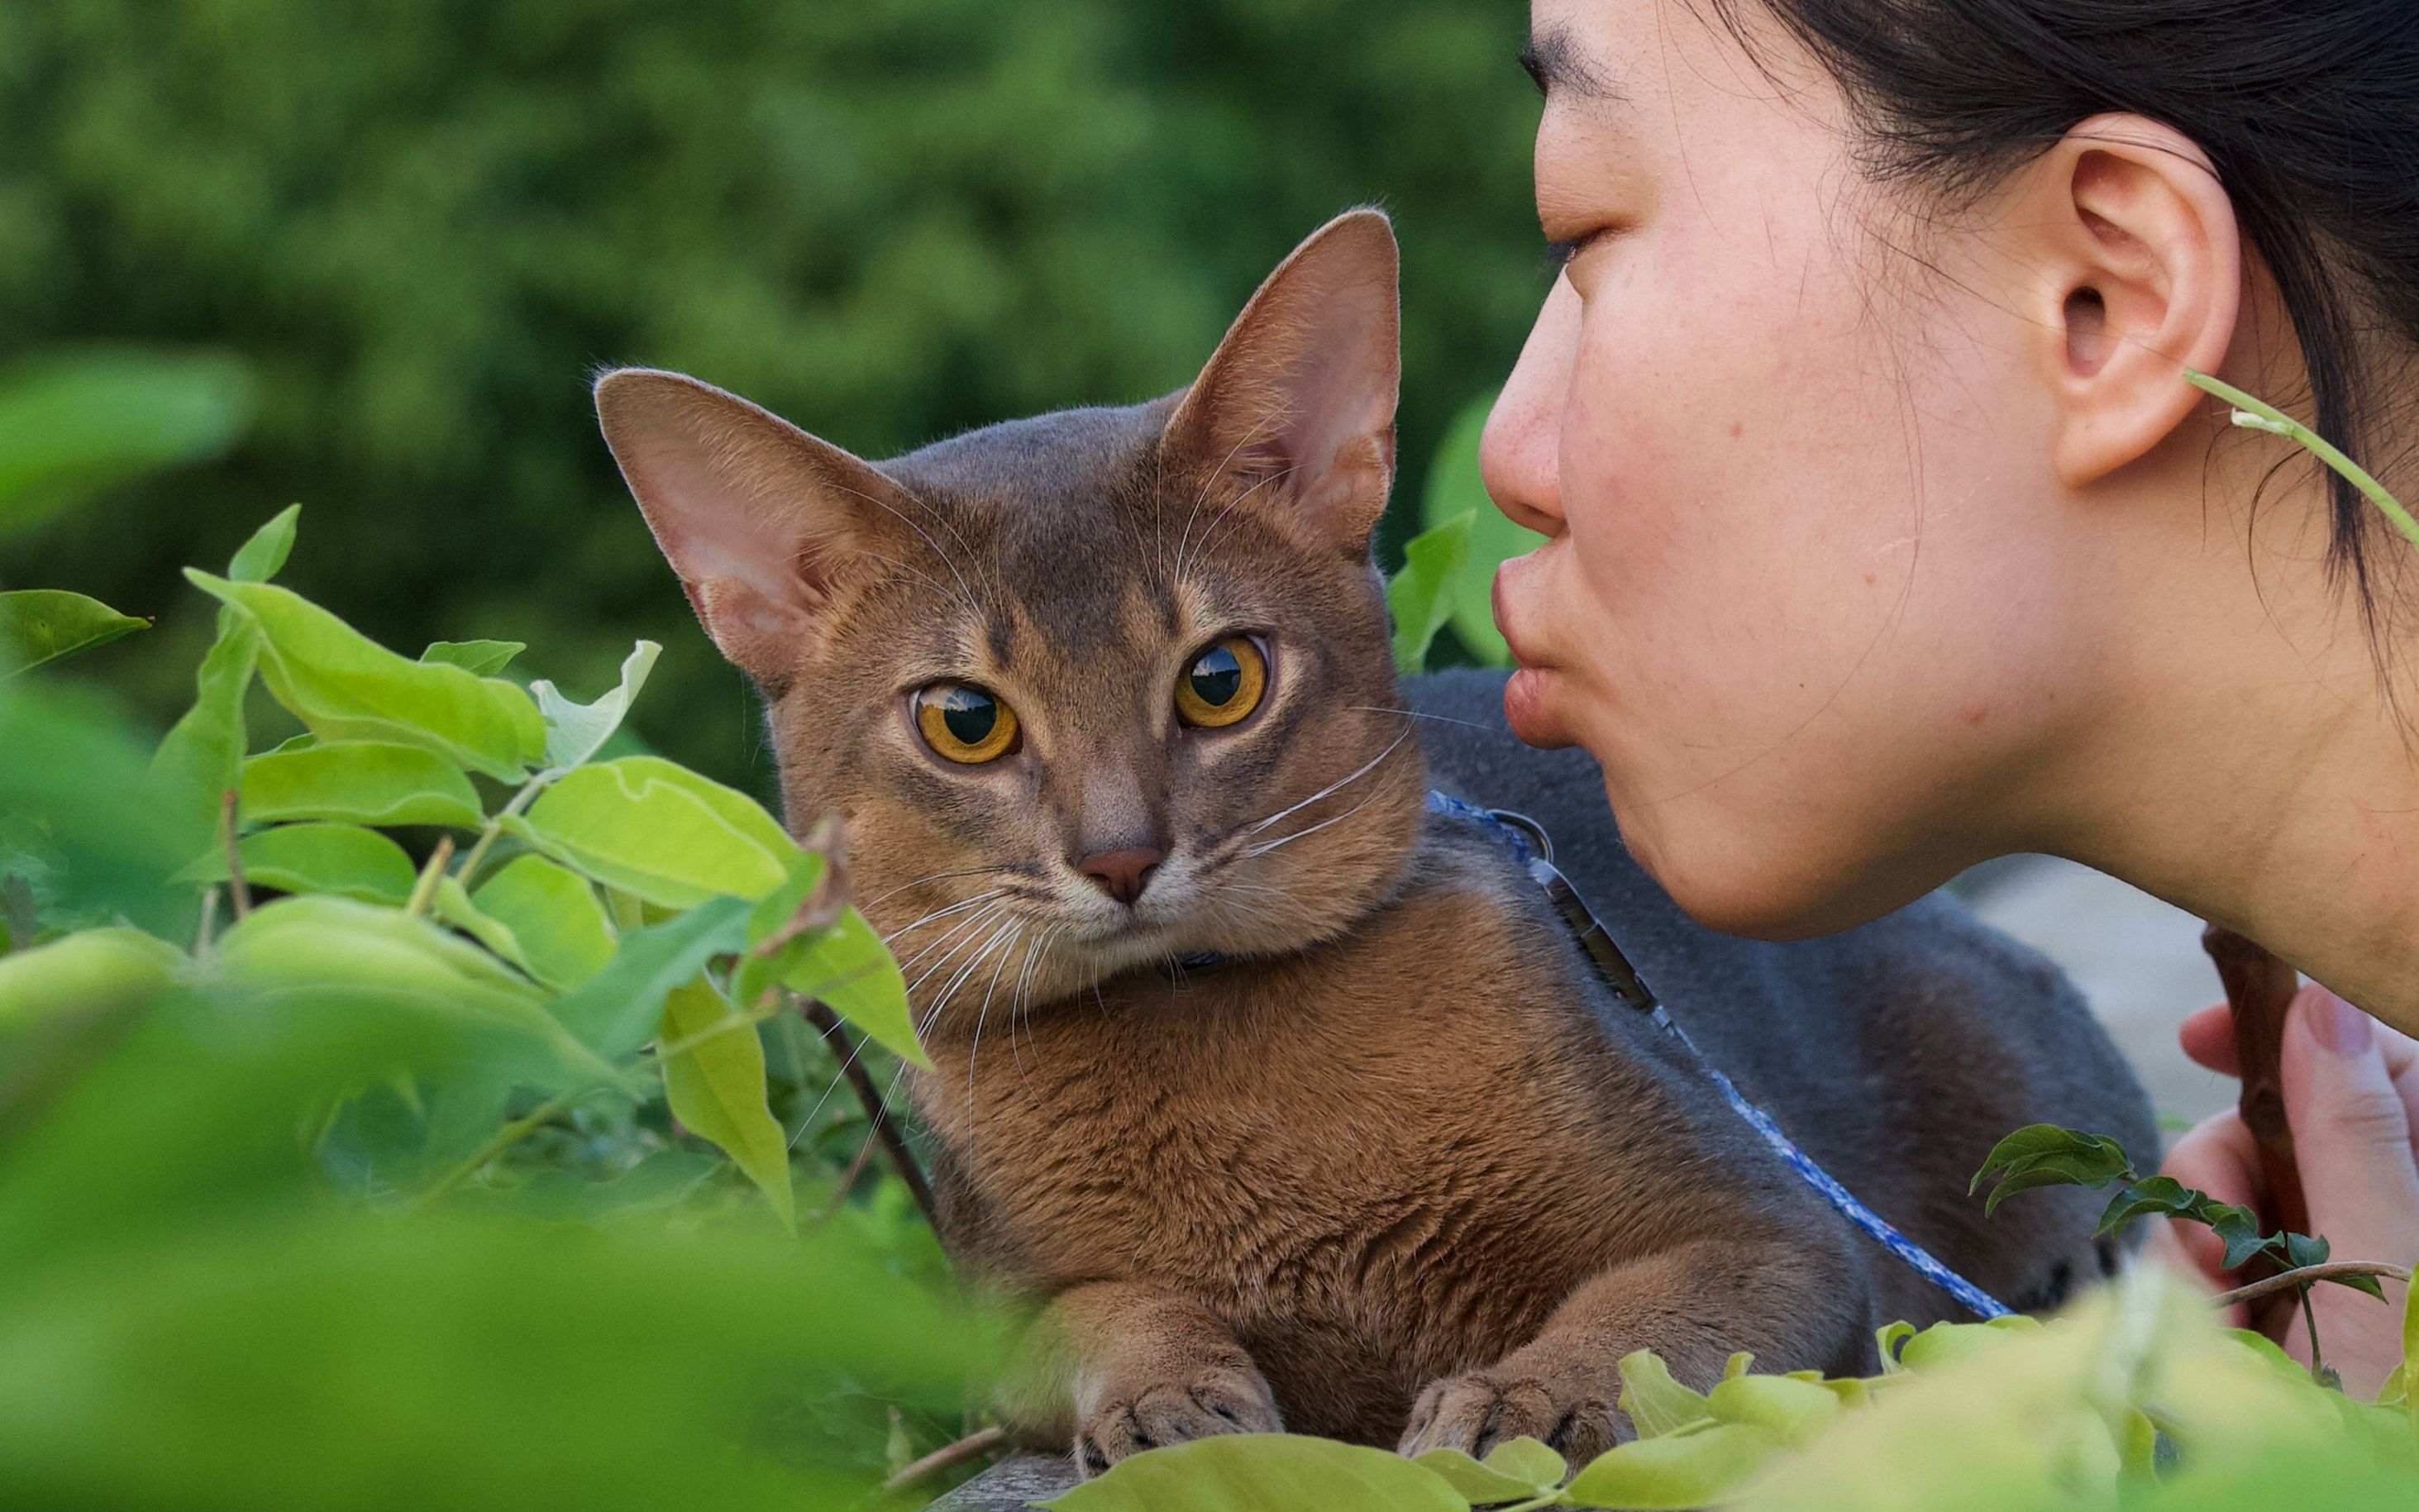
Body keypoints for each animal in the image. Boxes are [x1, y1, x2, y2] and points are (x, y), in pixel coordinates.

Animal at [589, 207, 2157, 1471]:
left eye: (1221, 678)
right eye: (964, 719)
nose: (1119, 855)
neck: (1215, 1042)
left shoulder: (1774, 1231)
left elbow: (1648, 1319)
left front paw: (1529, 1396)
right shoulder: (990, 1327)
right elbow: (1107, 1311)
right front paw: (1168, 1389)